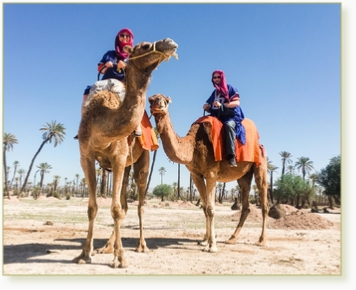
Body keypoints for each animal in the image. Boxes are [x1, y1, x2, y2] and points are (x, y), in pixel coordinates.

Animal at [73, 39, 178, 270]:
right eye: (145, 46)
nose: (169, 43)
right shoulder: (86, 157)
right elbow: (93, 207)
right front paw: (84, 254)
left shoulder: (119, 157)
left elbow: (115, 209)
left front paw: (121, 258)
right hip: (127, 165)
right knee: (125, 204)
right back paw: (106, 247)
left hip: (142, 162)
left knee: (138, 205)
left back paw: (141, 246)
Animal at [149, 94, 268, 253]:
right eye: (151, 99)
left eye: (165, 101)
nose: (158, 104)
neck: (192, 146)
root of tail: (260, 143)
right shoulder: (196, 175)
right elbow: (205, 207)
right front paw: (205, 241)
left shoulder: (211, 173)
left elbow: (211, 208)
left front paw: (212, 246)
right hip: (244, 175)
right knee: (246, 204)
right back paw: (232, 238)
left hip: (261, 164)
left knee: (264, 201)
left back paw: (262, 241)